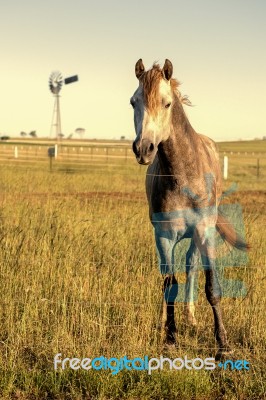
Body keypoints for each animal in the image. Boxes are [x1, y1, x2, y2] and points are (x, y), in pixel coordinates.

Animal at [130, 58, 248, 360]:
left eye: (167, 103)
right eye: (133, 102)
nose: (144, 149)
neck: (183, 174)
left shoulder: (204, 232)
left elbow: (212, 287)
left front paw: (223, 344)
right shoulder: (164, 236)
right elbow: (169, 284)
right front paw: (170, 338)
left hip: (197, 238)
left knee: (192, 266)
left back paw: (191, 317)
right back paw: (164, 321)